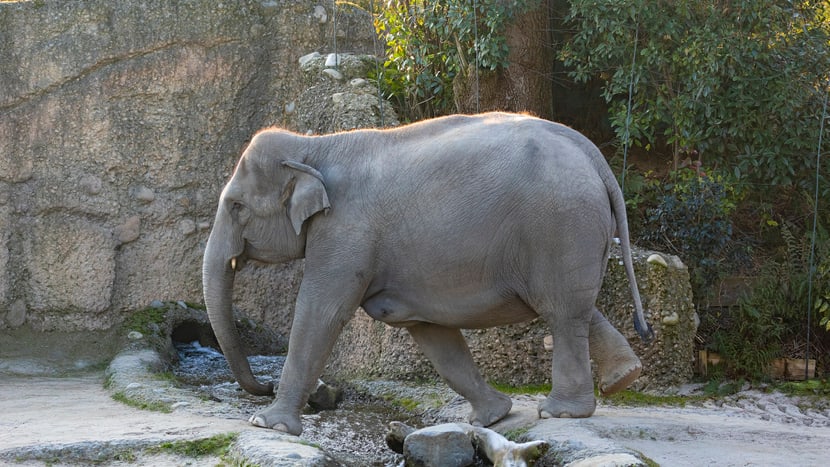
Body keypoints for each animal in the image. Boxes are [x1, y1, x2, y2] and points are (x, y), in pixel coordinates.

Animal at [203, 111, 656, 436]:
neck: (313, 145)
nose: (263, 386)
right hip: (570, 232)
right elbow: (427, 329)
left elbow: (321, 311)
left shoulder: (345, 230)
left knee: (561, 311)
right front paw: (493, 418)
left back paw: (561, 413)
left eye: (236, 207)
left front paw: (268, 425)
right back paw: (623, 377)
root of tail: (591, 153)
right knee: (574, 305)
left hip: (559, 225)